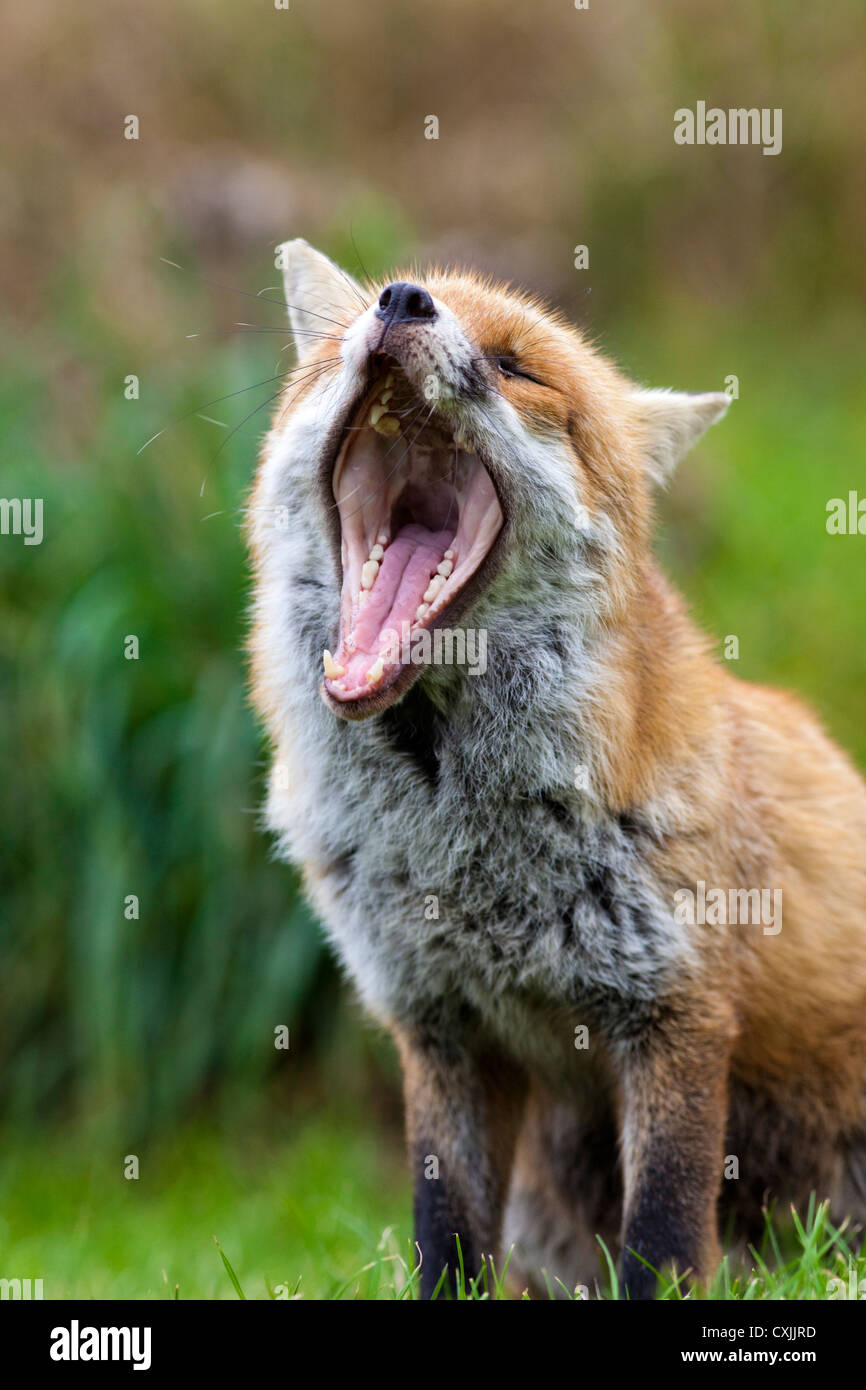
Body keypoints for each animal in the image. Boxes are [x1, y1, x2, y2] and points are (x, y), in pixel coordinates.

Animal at [246, 239, 866, 1299]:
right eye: (339, 344)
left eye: (517, 368)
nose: (400, 303)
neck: (466, 855)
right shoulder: (440, 1025)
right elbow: (446, 1233)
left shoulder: (676, 1011)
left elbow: (662, 1233)